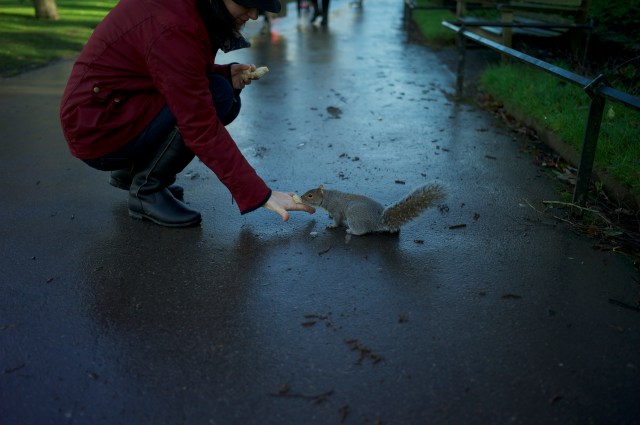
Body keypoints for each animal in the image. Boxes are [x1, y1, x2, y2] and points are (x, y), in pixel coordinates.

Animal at [299, 183, 445, 236]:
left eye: (310, 195)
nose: (300, 198)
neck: (328, 197)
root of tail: (378, 221)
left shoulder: (336, 210)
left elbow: (337, 220)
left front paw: (332, 225)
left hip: (353, 214)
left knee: (362, 231)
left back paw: (351, 231)